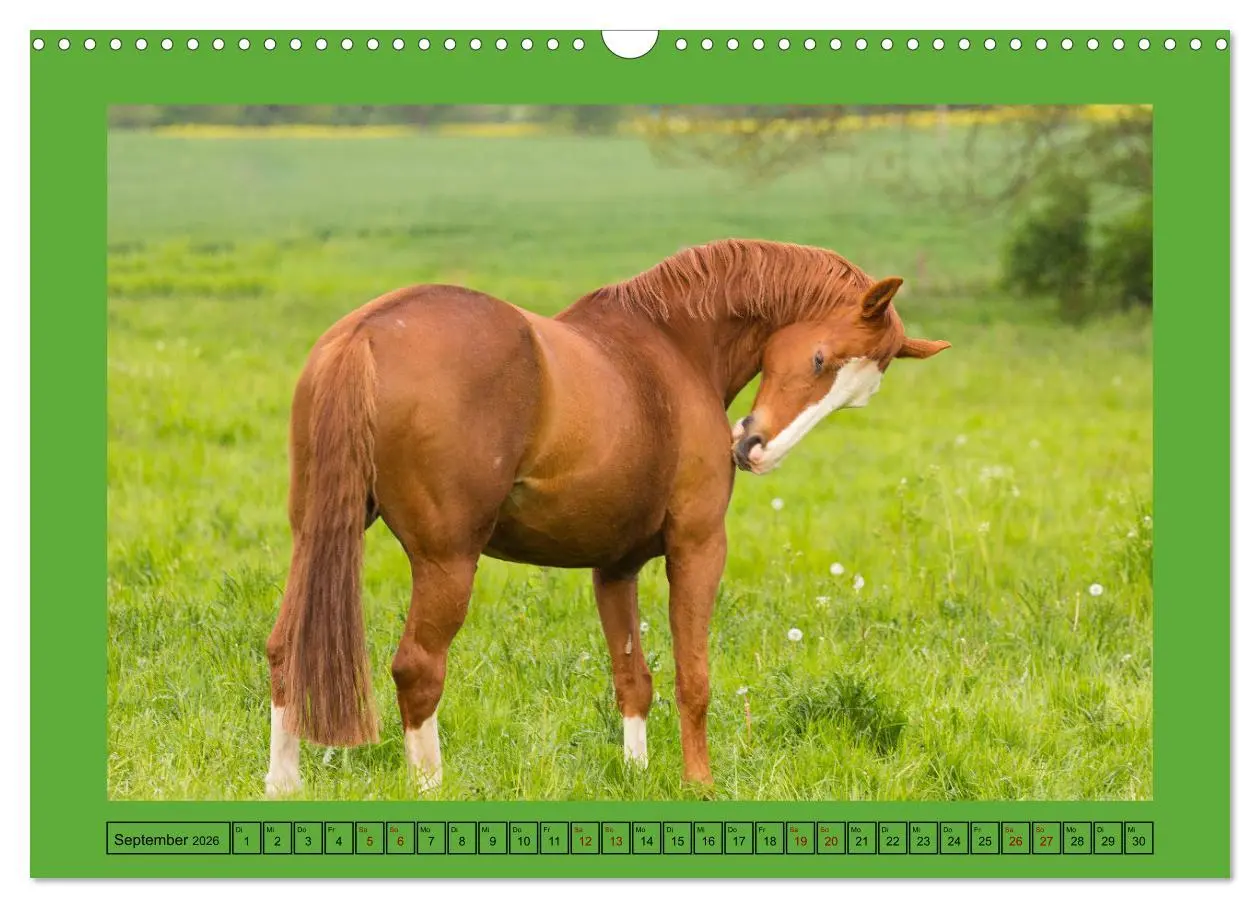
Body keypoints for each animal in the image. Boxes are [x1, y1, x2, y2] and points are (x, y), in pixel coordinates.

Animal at [264, 238, 949, 797]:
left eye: (855, 397)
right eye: (819, 359)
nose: (757, 451)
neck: (671, 347)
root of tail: (368, 331)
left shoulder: (614, 567)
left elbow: (633, 676)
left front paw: (636, 774)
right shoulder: (699, 547)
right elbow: (693, 675)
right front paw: (698, 783)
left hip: (317, 535)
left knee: (285, 651)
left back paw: (283, 785)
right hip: (447, 561)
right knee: (418, 668)